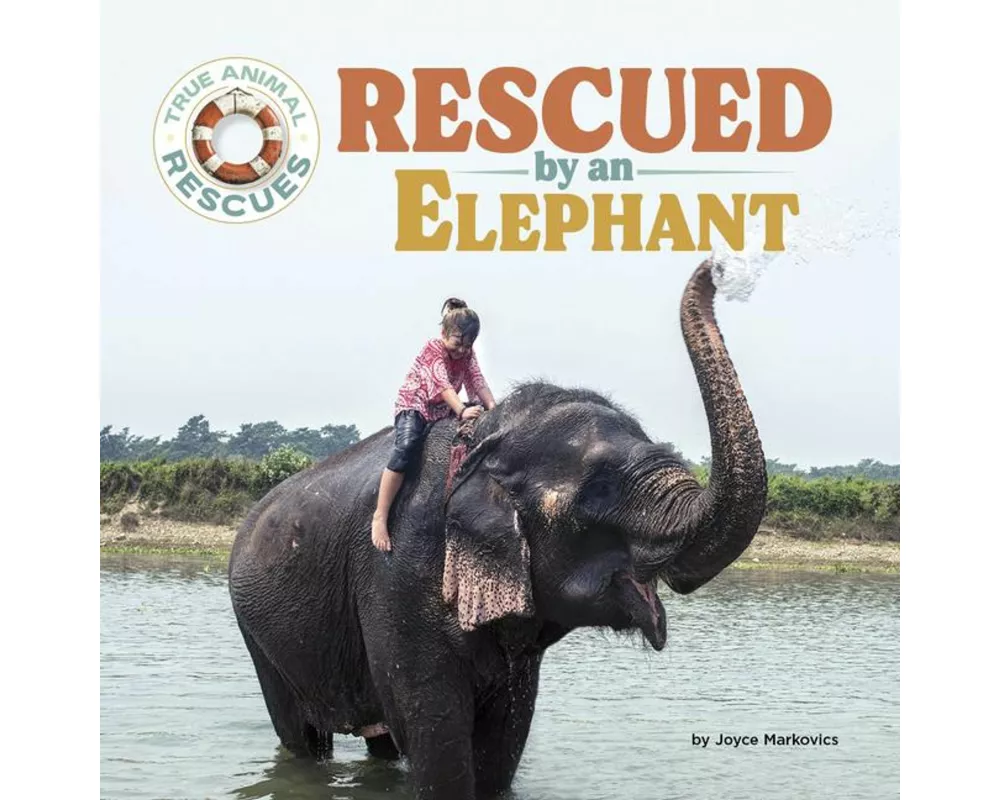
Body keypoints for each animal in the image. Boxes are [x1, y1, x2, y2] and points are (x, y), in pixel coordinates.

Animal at [228, 259, 767, 799]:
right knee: (302, 738)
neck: (486, 442)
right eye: (598, 491)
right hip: (259, 637)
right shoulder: (396, 579)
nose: (717, 267)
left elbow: (506, 734)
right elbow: (435, 734)